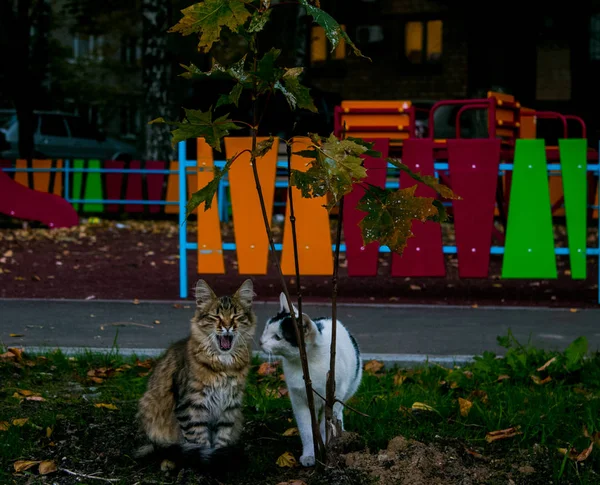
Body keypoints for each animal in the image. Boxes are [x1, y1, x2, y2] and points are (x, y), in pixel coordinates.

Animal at [135, 278, 256, 466]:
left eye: (236, 316)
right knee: (164, 448)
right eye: (216, 316)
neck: (224, 365)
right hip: (150, 410)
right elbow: (200, 442)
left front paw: (222, 460)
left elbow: (221, 440)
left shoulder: (229, 407)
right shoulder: (191, 407)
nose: (228, 327)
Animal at [258, 292, 360, 466]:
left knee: (338, 413)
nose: (260, 342)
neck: (306, 362)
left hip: (348, 389)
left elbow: (326, 425)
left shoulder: (333, 396)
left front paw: (327, 449)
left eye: (277, 337)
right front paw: (310, 455)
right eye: (266, 328)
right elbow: (307, 430)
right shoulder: (298, 399)